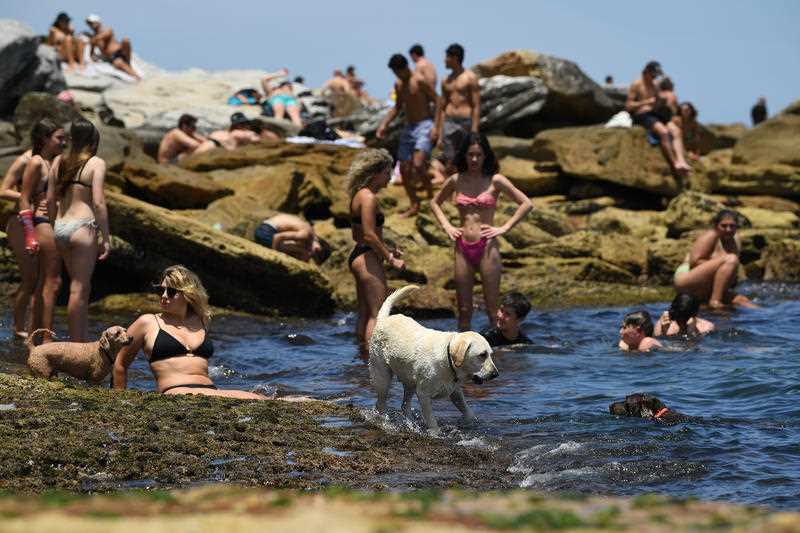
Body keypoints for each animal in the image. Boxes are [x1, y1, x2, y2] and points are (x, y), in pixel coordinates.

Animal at [370, 286, 500, 432]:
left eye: (490, 354)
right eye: (482, 355)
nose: (496, 374)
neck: (448, 359)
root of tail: (384, 319)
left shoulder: (455, 391)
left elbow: (468, 412)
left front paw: (468, 422)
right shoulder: (424, 395)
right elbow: (432, 421)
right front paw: (435, 433)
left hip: (409, 380)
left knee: (404, 406)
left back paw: (410, 423)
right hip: (382, 377)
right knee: (380, 404)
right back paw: (383, 421)